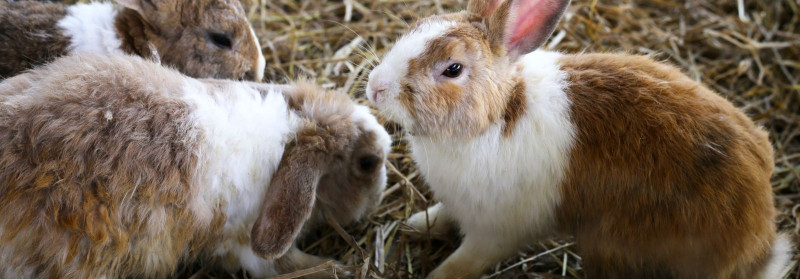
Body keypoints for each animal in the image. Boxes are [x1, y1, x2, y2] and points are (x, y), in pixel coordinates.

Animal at [0, 52, 390, 278]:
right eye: (367, 163)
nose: (378, 198)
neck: (289, 136)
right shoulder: (242, 244)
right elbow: (282, 263)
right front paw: (339, 268)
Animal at [366, 0, 792, 278]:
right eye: (419, 24)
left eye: (452, 69)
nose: (374, 87)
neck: (495, 116)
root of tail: (760, 241)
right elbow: (441, 215)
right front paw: (416, 224)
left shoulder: (495, 232)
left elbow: (464, 262)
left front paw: (437, 275)